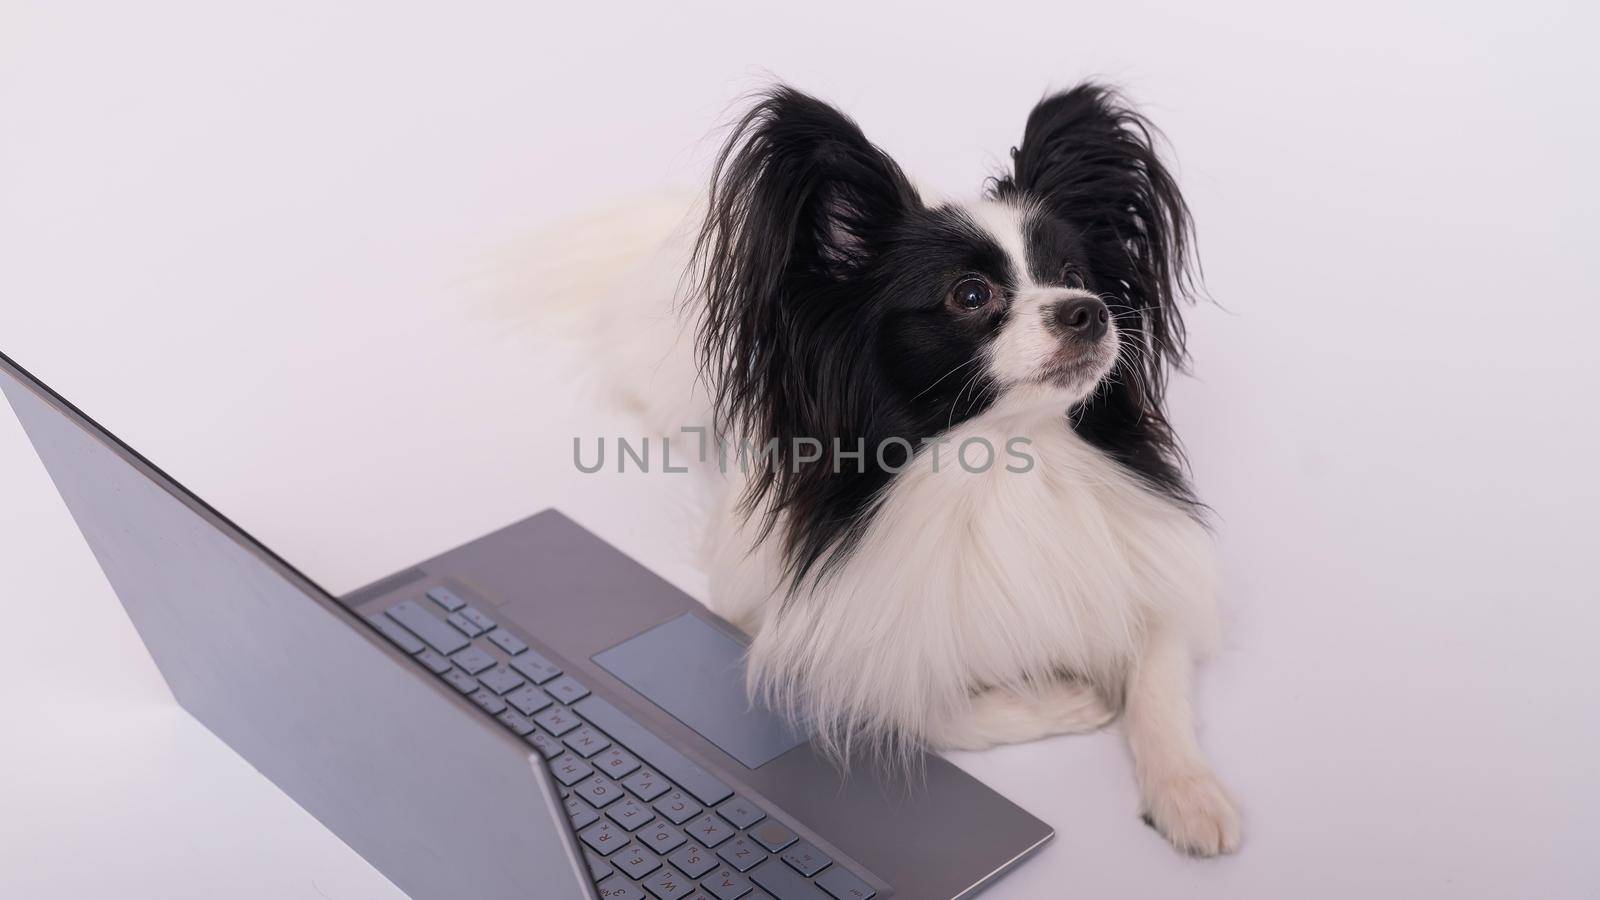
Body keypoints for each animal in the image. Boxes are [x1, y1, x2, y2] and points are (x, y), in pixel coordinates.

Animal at [585, 84, 1235, 851]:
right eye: (971, 294)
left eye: (1076, 278)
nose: (1089, 311)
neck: (1003, 462)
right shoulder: (787, 628)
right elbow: (916, 707)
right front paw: (1066, 699)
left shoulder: (1152, 574)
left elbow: (1159, 672)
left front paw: (1188, 791)